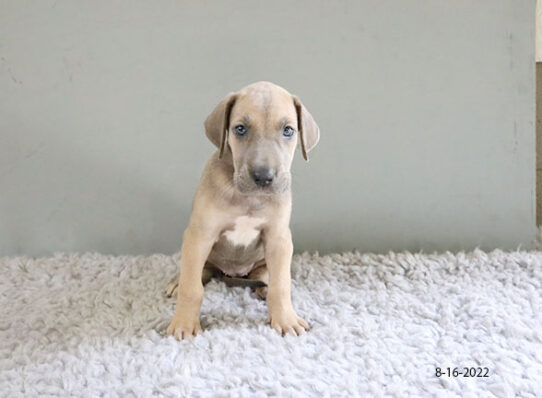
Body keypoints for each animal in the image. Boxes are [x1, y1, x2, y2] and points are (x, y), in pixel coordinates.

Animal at [166, 81, 318, 338]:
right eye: (240, 129)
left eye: (288, 130)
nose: (264, 177)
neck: (249, 198)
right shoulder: (200, 235)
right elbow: (192, 288)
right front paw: (184, 324)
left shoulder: (278, 238)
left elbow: (281, 285)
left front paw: (285, 318)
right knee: (197, 273)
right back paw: (178, 283)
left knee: (267, 278)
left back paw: (264, 288)